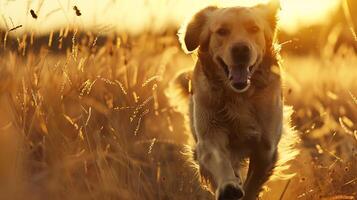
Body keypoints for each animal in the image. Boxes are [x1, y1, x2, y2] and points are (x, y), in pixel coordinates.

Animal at [168, 0, 298, 199]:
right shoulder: (209, 135)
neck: (240, 97)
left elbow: (253, 184)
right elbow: (219, 159)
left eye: (254, 28)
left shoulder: (266, 148)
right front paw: (228, 186)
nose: (240, 49)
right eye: (222, 31)